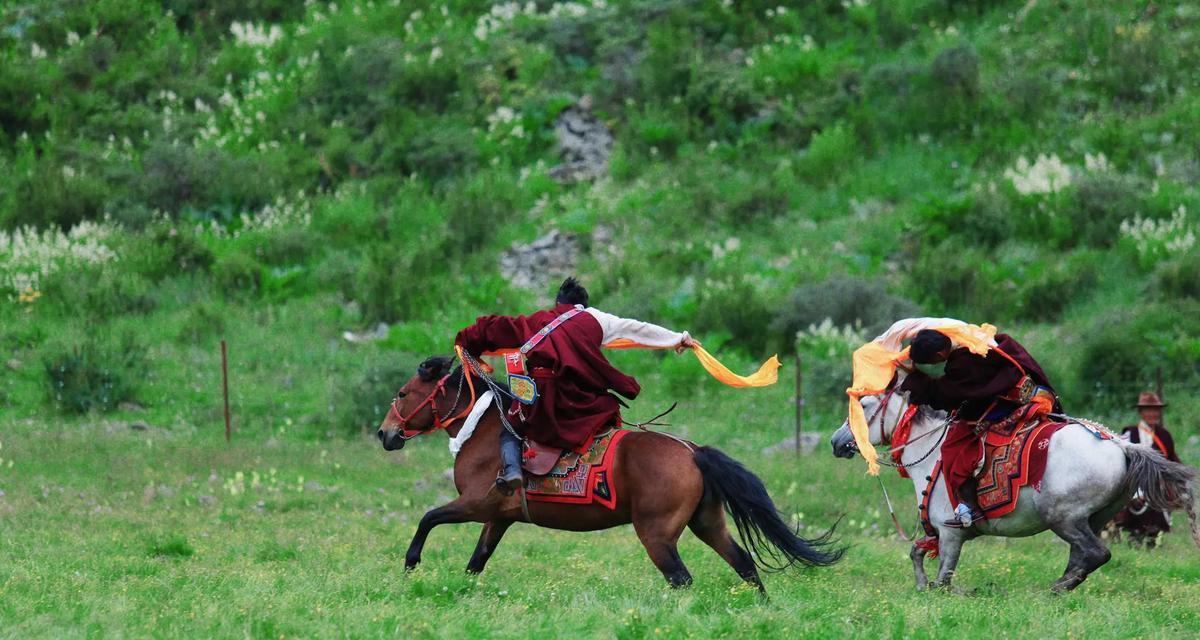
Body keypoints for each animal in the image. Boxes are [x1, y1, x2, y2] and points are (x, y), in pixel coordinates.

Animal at [376, 353, 844, 590]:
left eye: (402, 392)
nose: (385, 434)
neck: (487, 434)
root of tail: (692, 452)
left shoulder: (475, 503)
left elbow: (428, 517)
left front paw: (411, 563)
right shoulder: (498, 517)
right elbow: (477, 560)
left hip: (656, 533)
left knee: (681, 578)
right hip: (707, 522)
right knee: (743, 563)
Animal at [830, 377, 1195, 590]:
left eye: (864, 405)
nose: (836, 441)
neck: (930, 449)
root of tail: (1122, 445)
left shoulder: (950, 533)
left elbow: (944, 575)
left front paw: (936, 590)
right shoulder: (939, 533)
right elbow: (916, 552)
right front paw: (921, 585)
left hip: (1063, 517)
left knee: (1096, 553)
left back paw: (1058, 588)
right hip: (1093, 519)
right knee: (1083, 555)